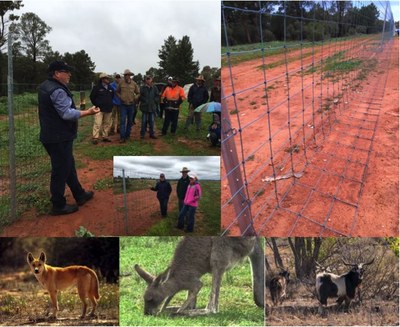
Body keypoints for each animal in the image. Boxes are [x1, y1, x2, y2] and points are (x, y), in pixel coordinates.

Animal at [134, 237, 266, 316]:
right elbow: (169, 299)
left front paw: (178, 310)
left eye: (150, 299)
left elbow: (198, 286)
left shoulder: (191, 281)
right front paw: (164, 309)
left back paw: (188, 312)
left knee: (213, 308)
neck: (175, 279)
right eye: (144, 298)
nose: (146, 313)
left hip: (220, 250)